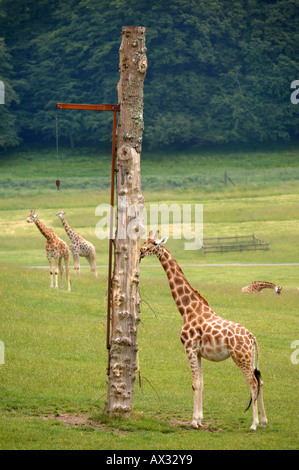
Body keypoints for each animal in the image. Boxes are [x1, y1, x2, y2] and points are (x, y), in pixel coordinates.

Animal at [141, 230, 270, 430]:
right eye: (145, 240)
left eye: (155, 243)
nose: (141, 250)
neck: (187, 311)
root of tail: (252, 336)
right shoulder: (199, 352)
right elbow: (201, 383)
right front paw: (200, 419)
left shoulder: (189, 347)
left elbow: (194, 383)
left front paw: (194, 421)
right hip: (249, 357)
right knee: (260, 382)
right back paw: (264, 421)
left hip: (241, 357)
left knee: (253, 383)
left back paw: (254, 424)